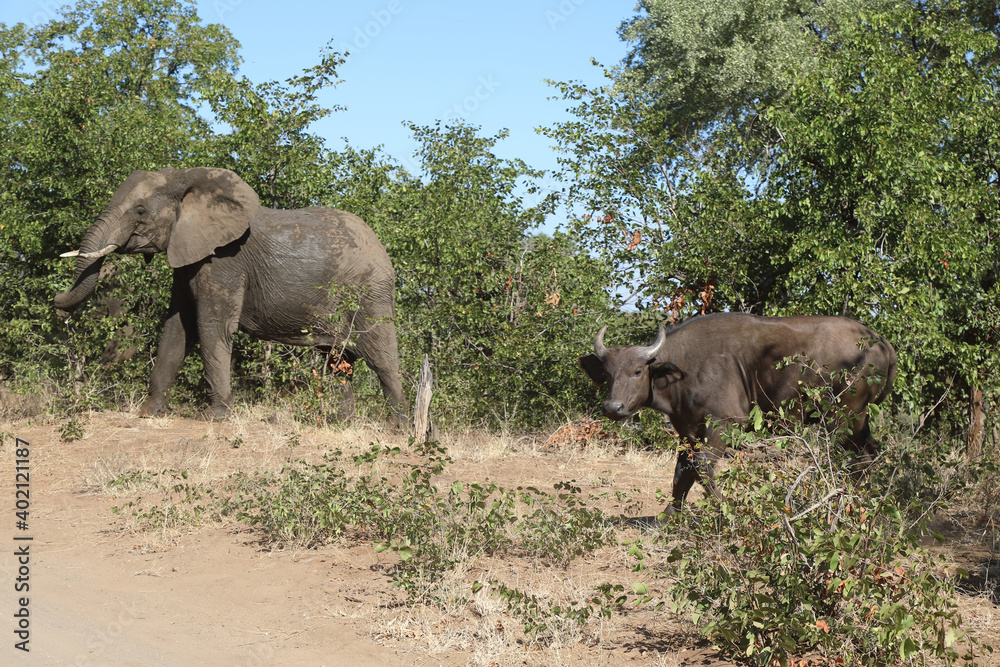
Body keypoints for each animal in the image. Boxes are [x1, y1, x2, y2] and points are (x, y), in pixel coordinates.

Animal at [54, 167, 406, 420]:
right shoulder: (188, 258)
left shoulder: (224, 261)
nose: (56, 302)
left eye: (140, 211)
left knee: (381, 358)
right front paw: (149, 413)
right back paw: (341, 424)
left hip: (370, 292)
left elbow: (211, 326)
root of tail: (382, 247)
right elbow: (177, 328)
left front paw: (216, 418)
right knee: (335, 360)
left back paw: (399, 430)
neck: (184, 178)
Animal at [579, 313, 897, 516]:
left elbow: (701, 467)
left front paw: (724, 508)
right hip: (860, 422)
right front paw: (669, 515)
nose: (613, 408)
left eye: (637, 371)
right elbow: (682, 470)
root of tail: (880, 342)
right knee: (870, 452)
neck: (684, 368)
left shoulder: (723, 424)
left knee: (855, 459)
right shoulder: (688, 429)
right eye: (608, 373)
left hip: (845, 419)